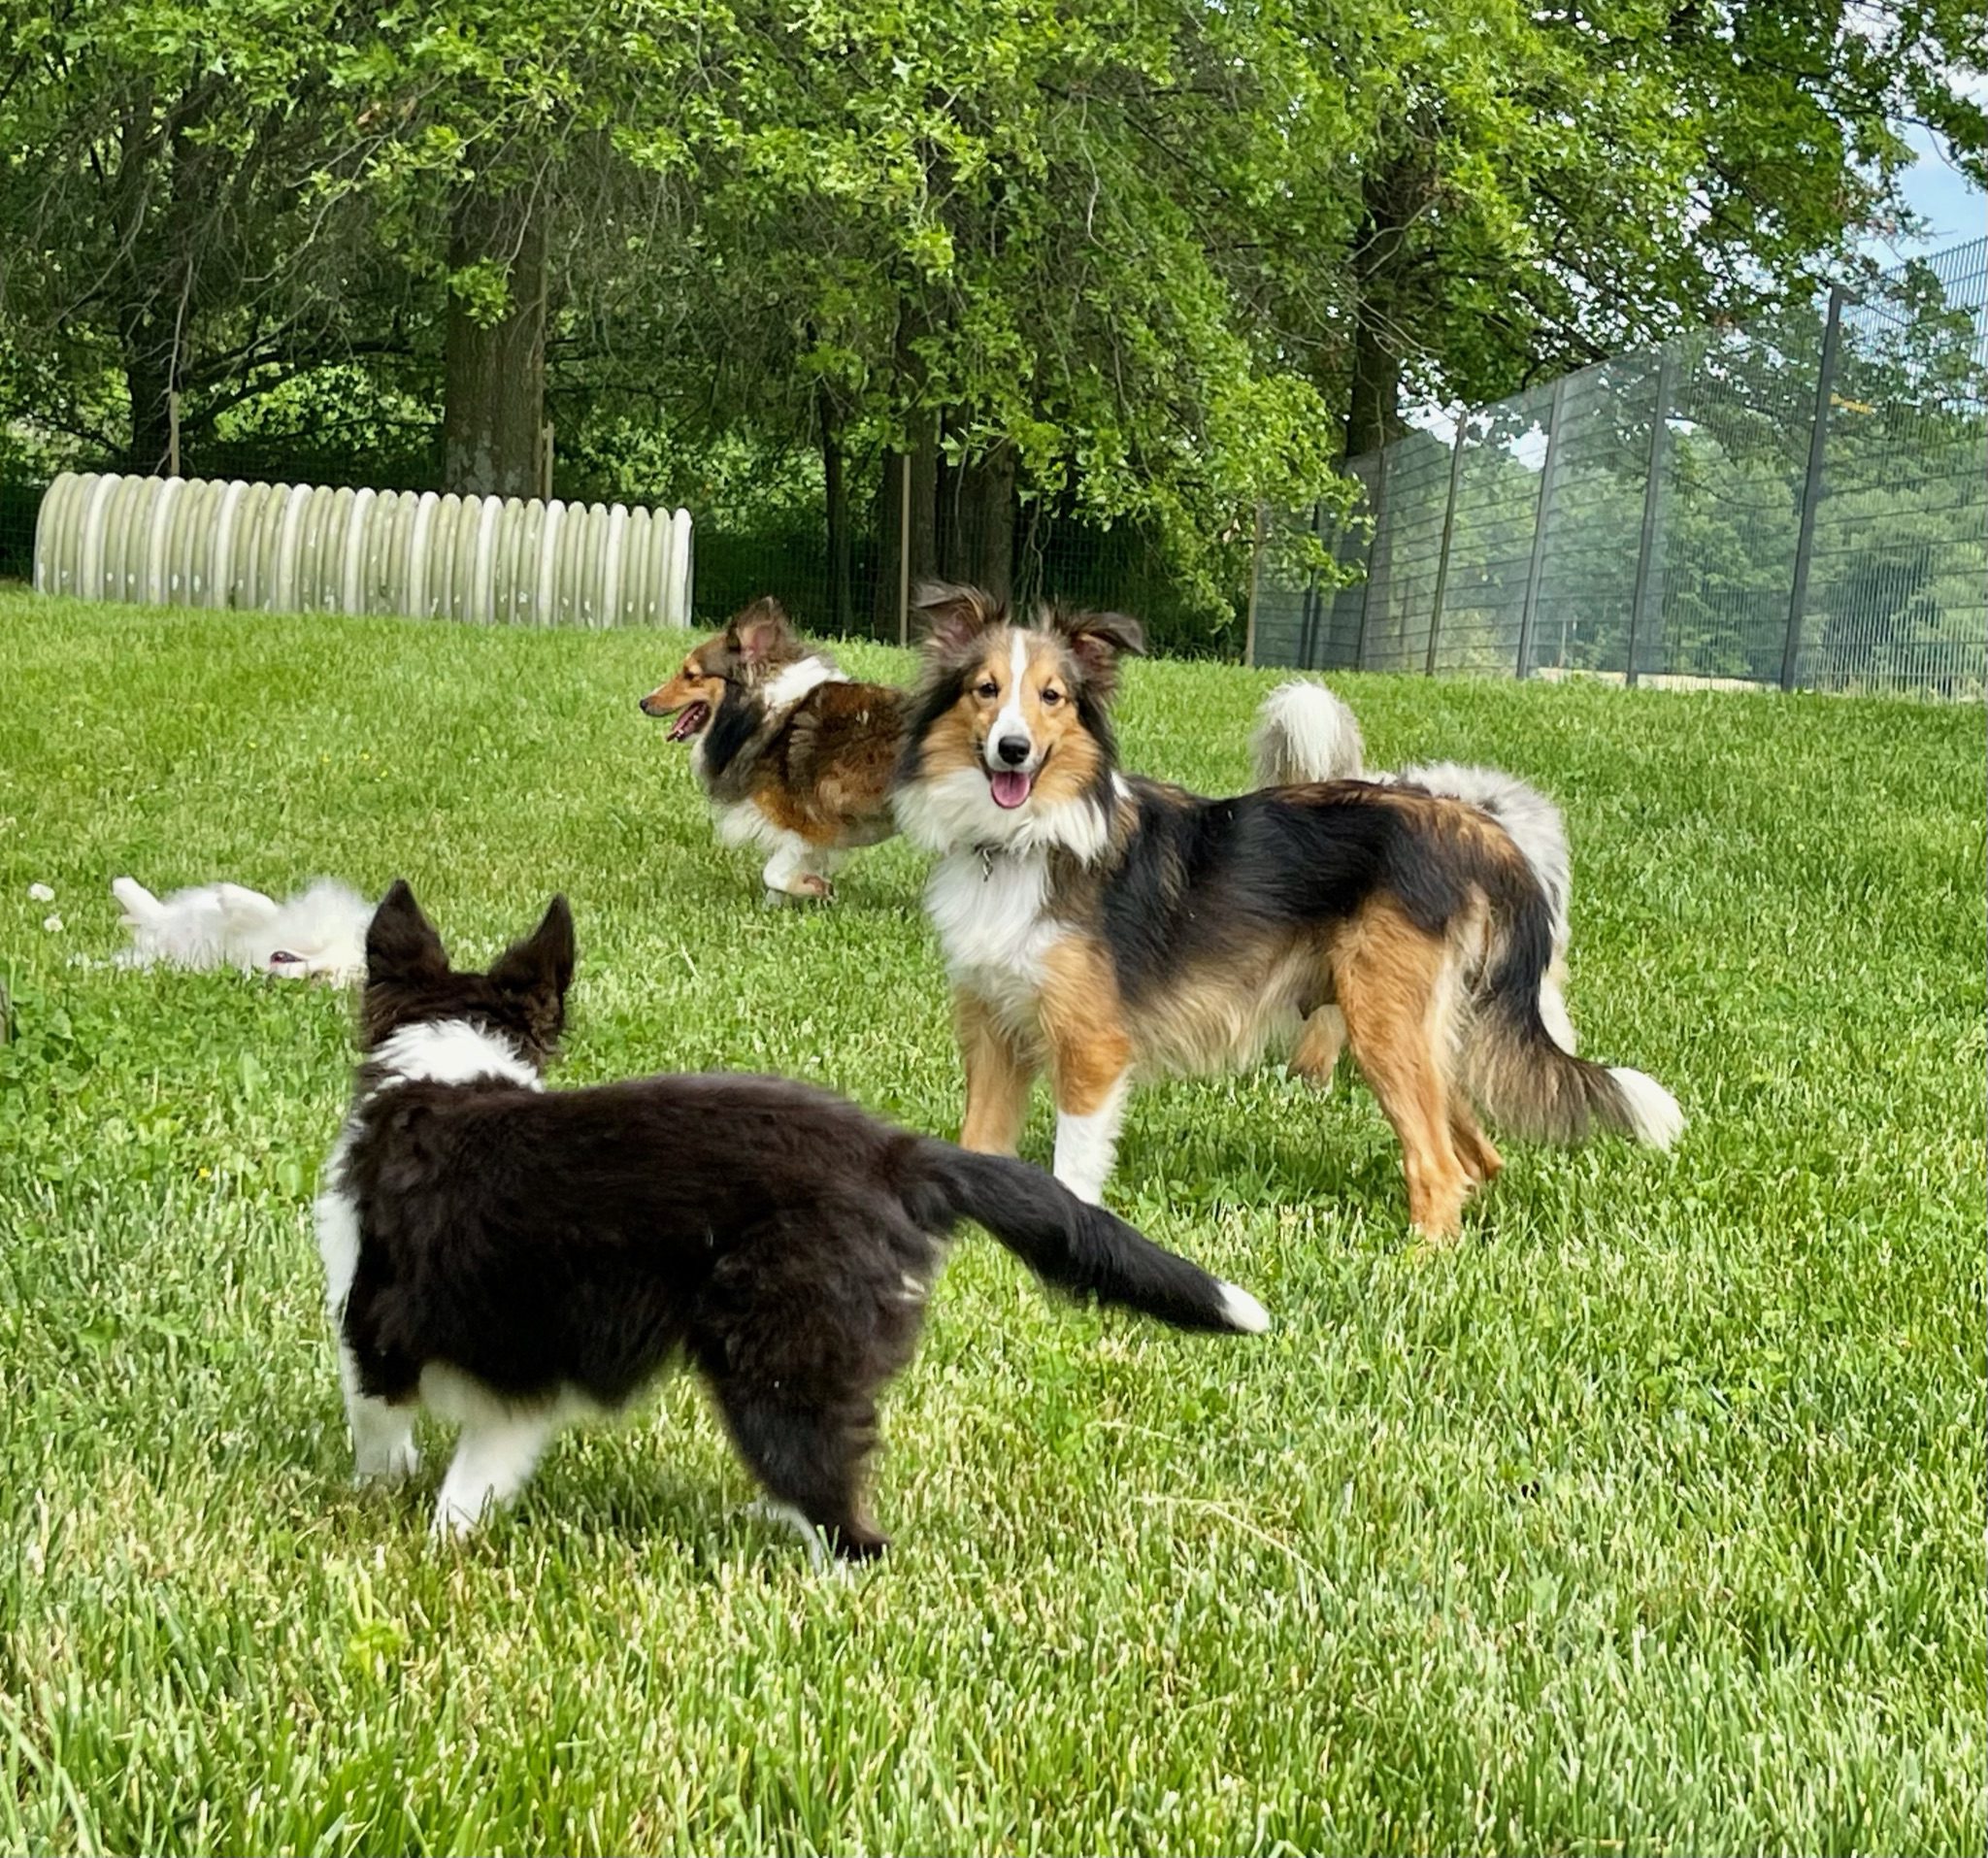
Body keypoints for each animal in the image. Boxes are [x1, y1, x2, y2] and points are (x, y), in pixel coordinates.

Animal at [315, 878, 1264, 1566]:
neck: (447, 1068)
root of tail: (895, 1156)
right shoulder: (527, 1372)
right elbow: (477, 1478)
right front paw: (450, 1538)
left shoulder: (373, 1319)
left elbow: (375, 1425)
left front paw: (379, 1502)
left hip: (779, 1364)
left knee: (856, 1532)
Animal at [640, 600, 906, 898]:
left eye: (690, 674)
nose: (643, 702)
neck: (762, 710)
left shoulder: (800, 828)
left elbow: (773, 874)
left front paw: (815, 887)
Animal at [894, 587, 1685, 1240]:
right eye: (985, 690)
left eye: (1052, 696)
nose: (1013, 750)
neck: (1022, 843)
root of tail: (1466, 821)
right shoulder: (994, 1031)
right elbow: (979, 1142)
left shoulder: (1090, 1047)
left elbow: (1074, 1168)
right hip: (1421, 1037)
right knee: (1478, 1157)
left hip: (1384, 1025)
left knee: (1438, 1165)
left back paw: (1420, 1264)